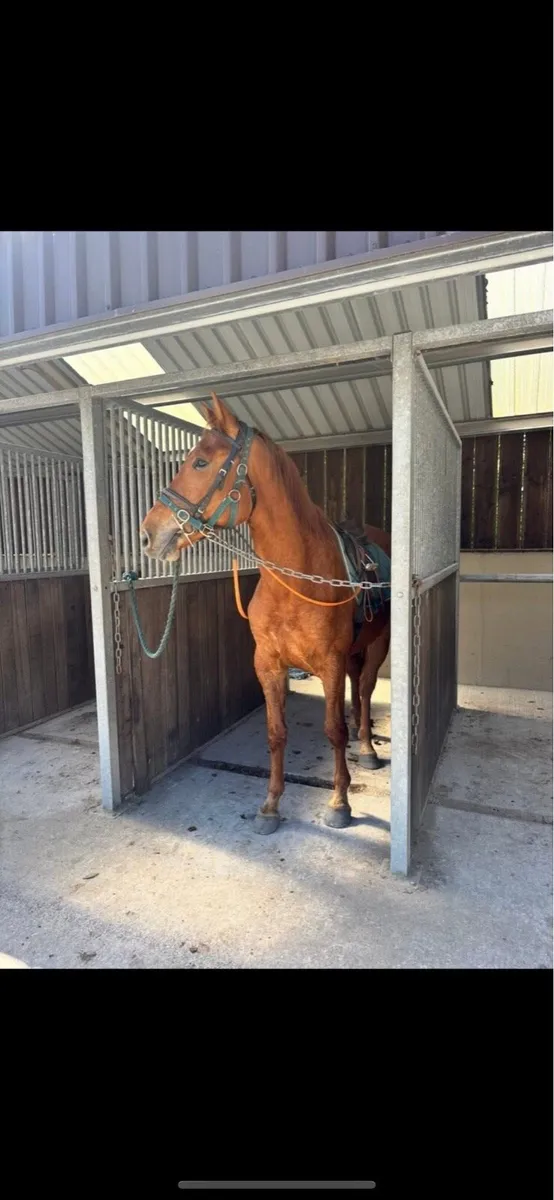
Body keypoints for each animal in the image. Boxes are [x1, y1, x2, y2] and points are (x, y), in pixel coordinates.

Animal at [140, 392, 391, 835]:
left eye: (200, 463)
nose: (149, 533)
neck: (297, 575)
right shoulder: (268, 663)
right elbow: (276, 733)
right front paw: (270, 805)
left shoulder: (329, 664)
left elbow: (334, 730)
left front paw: (339, 802)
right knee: (358, 693)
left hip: (377, 645)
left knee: (364, 691)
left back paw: (367, 749)